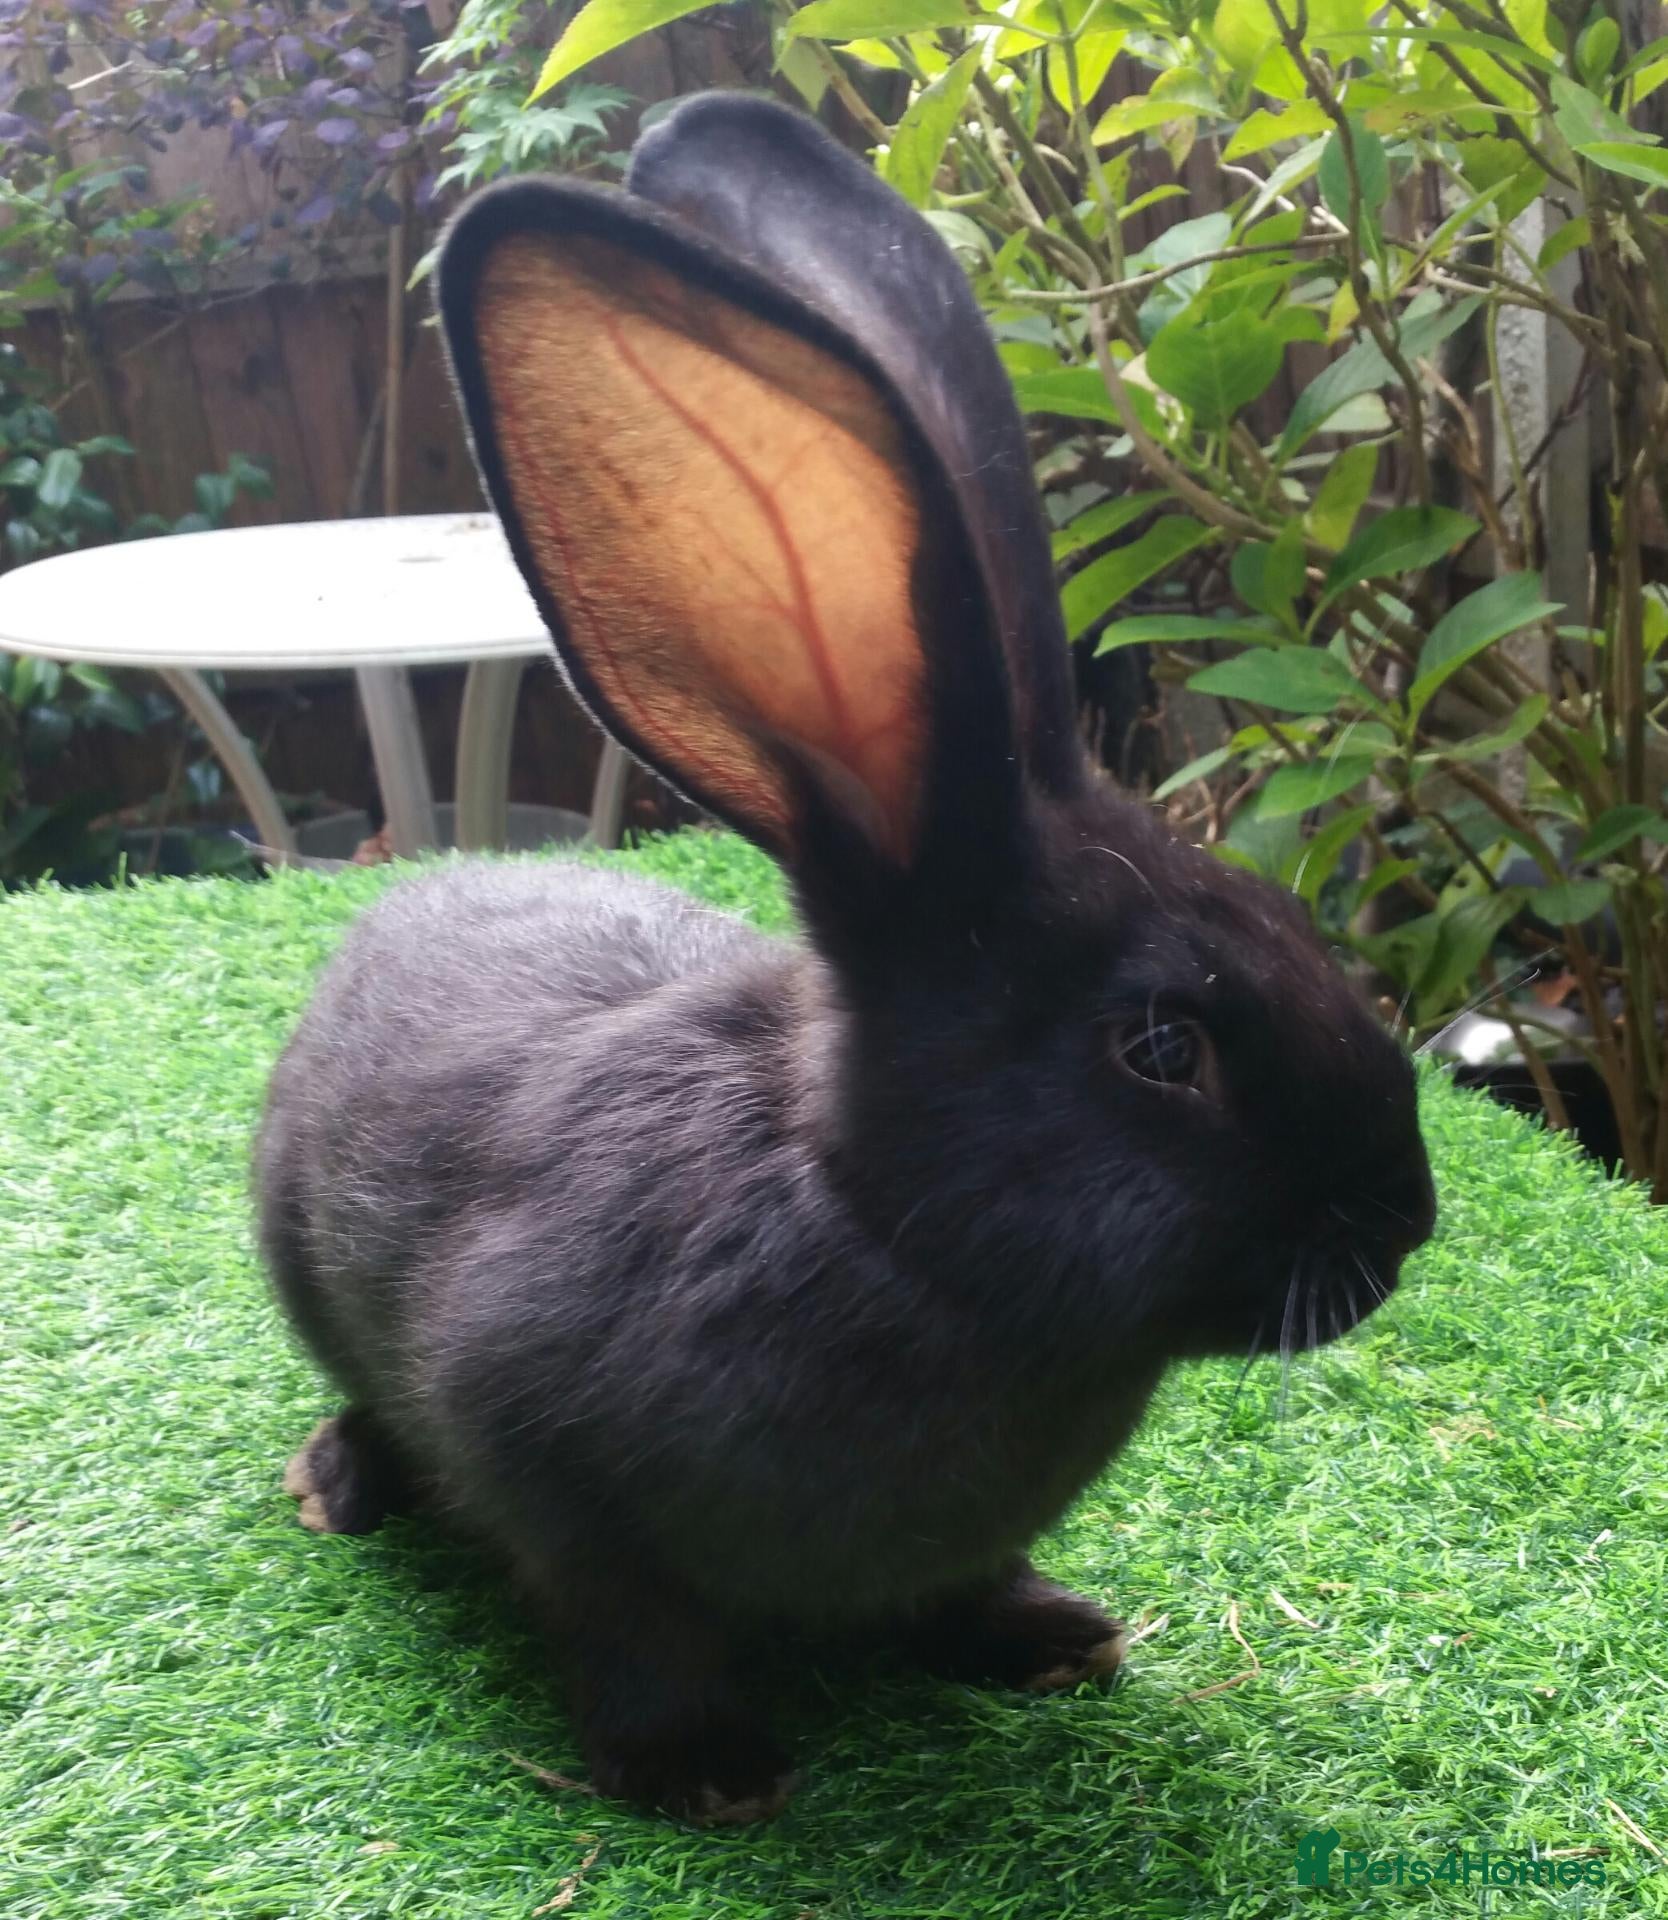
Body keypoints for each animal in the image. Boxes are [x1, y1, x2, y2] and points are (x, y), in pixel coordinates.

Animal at [256, 91, 1436, 1825]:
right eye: (1163, 1047)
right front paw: (708, 1775)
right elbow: (628, 1619)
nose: (1408, 1218)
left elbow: (963, 1583)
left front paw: (1053, 1639)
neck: (880, 1226)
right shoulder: (544, 1460)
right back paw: (338, 1486)